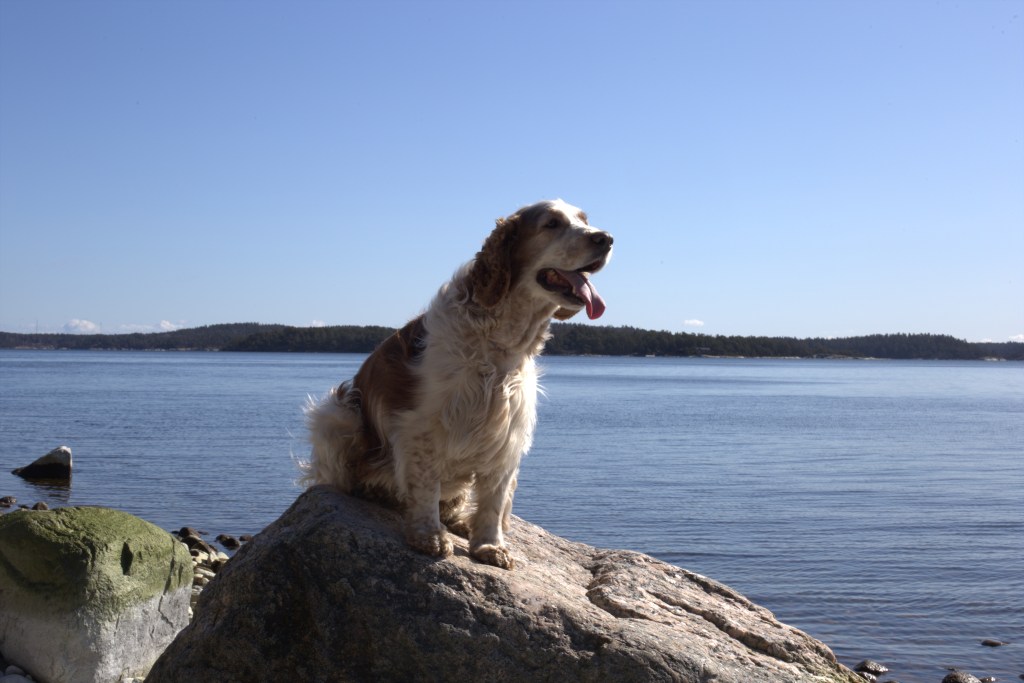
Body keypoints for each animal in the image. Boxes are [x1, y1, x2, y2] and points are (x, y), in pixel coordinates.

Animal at [301, 199, 613, 569]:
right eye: (551, 223)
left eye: (584, 219)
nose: (606, 239)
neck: (500, 343)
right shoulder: (421, 427)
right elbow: (425, 488)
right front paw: (429, 537)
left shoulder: (506, 438)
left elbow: (494, 501)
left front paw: (489, 544)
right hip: (337, 413)